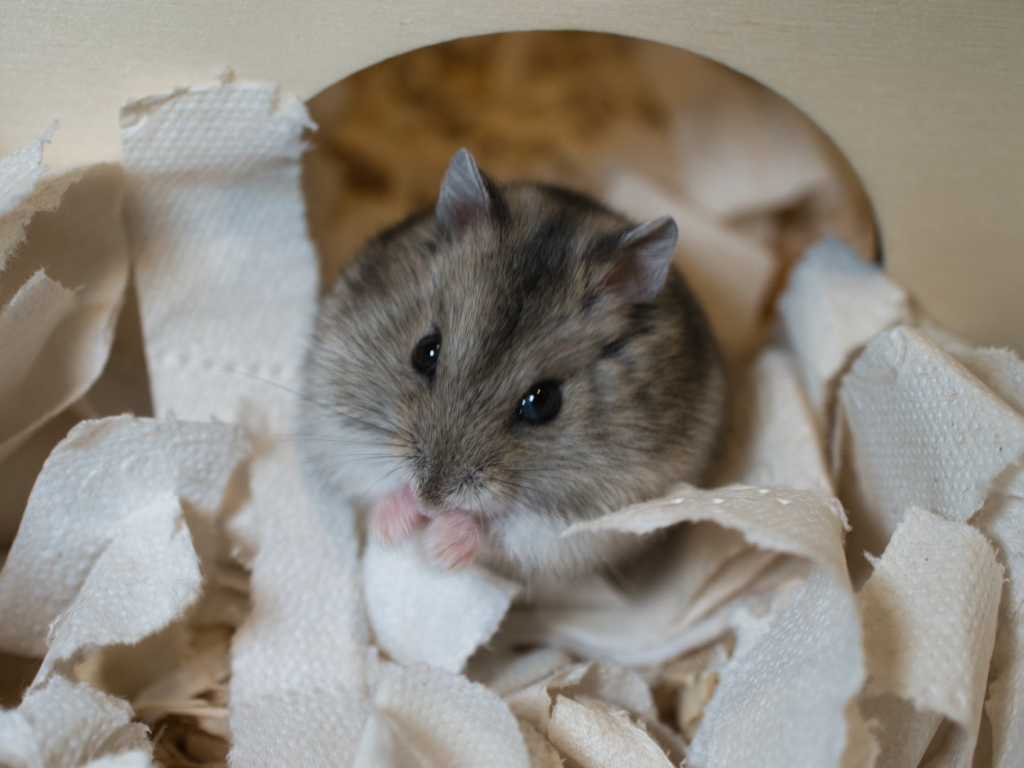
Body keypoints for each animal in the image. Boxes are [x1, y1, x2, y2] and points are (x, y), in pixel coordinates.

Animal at [299, 148, 724, 581]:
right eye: (426, 352)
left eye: (542, 402)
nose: (429, 504)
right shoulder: (338, 425)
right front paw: (391, 530)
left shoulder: (585, 523)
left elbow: (498, 530)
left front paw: (440, 549)